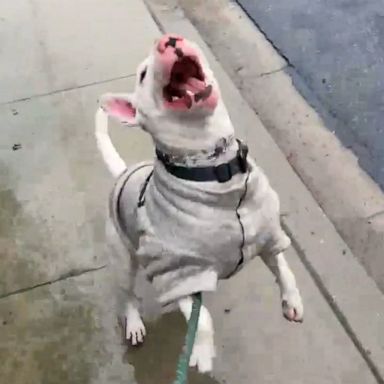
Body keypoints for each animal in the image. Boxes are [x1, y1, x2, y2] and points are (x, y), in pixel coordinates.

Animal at [94, 35, 304, 372]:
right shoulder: (178, 273)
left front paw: (292, 301)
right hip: (123, 257)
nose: (168, 40)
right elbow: (202, 319)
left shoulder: (268, 236)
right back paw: (134, 323)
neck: (215, 171)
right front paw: (202, 352)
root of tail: (125, 172)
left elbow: (285, 268)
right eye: (142, 75)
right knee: (126, 295)